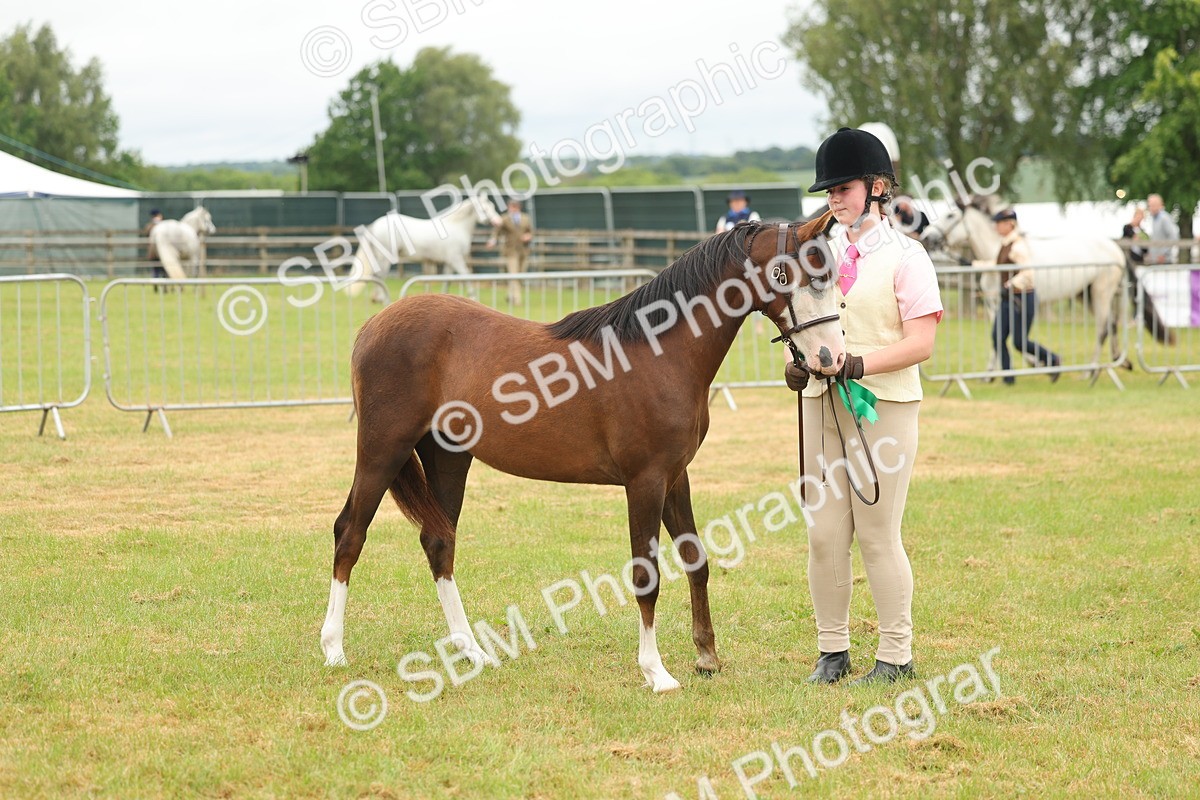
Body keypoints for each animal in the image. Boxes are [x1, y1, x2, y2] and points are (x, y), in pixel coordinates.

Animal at [320, 211, 846, 692]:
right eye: (808, 275)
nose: (831, 360)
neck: (659, 352)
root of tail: (372, 325)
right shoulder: (645, 481)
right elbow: (646, 575)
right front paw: (656, 672)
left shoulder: (676, 476)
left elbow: (695, 559)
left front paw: (707, 657)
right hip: (382, 450)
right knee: (350, 534)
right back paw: (334, 649)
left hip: (448, 457)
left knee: (438, 542)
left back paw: (471, 652)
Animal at [346, 200, 502, 302]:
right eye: (484, 208)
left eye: (492, 207)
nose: (497, 222)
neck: (457, 226)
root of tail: (375, 225)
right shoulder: (456, 259)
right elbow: (466, 275)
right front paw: (473, 296)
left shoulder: (449, 262)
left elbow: (447, 279)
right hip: (385, 258)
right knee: (380, 276)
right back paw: (381, 298)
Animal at [919, 197, 1172, 371]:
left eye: (950, 216)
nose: (927, 237)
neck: (995, 255)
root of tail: (1116, 247)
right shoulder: (994, 303)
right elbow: (997, 334)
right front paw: (993, 370)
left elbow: (1013, 336)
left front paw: (1033, 362)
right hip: (1087, 294)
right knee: (1111, 325)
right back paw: (1120, 362)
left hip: (1102, 292)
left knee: (1102, 328)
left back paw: (1090, 370)